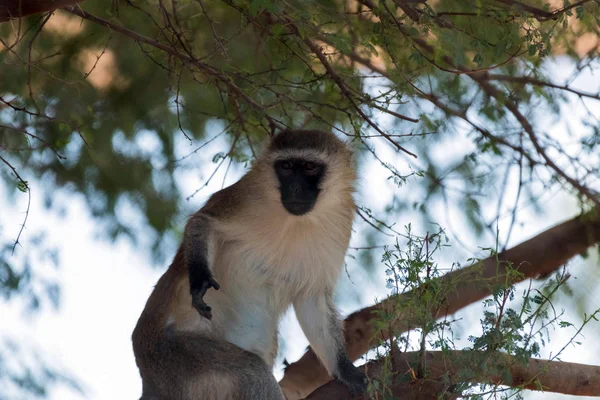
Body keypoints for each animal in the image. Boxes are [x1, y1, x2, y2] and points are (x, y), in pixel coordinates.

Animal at [132, 130, 366, 398]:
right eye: (286, 167)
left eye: (309, 167)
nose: (295, 188)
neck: (296, 221)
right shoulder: (247, 195)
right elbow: (203, 222)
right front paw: (200, 279)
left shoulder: (342, 221)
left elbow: (312, 299)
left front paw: (345, 369)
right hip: (169, 355)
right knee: (251, 371)